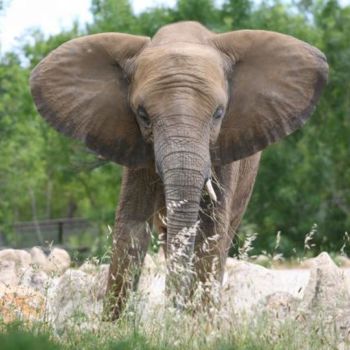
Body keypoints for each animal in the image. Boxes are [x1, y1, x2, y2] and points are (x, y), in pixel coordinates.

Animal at [30, 20, 328, 318]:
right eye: (143, 115)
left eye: (219, 113)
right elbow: (131, 228)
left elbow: (210, 230)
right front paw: (112, 325)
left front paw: (197, 324)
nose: (176, 311)